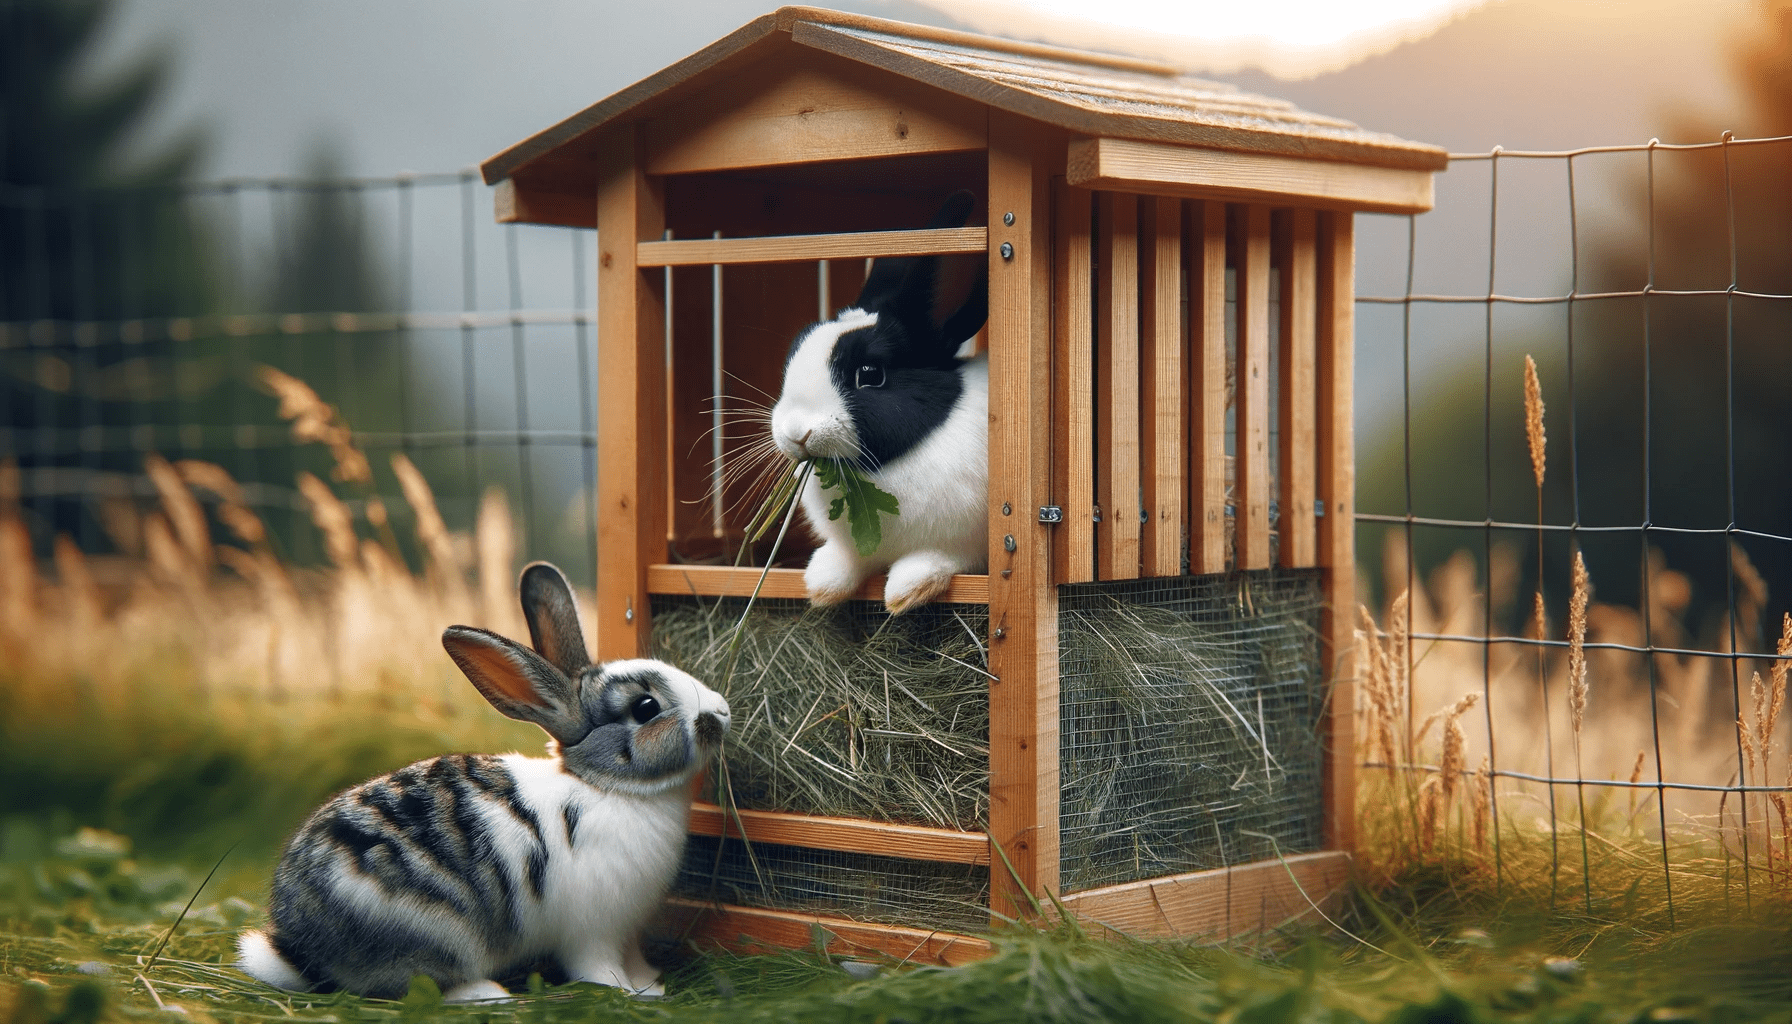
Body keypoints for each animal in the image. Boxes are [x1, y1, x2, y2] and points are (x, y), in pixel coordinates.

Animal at [236, 562, 730, 1003]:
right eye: (646, 708)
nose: (722, 711)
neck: (609, 788)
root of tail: (301, 948)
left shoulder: (628, 931)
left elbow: (635, 959)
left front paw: (651, 984)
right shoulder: (595, 931)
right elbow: (599, 968)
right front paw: (627, 993)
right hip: (439, 937)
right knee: (419, 985)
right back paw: (490, 994)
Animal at [769, 189, 990, 615]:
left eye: (870, 374)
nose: (795, 431)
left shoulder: (964, 543)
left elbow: (939, 558)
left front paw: (906, 592)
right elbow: (846, 561)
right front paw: (821, 584)